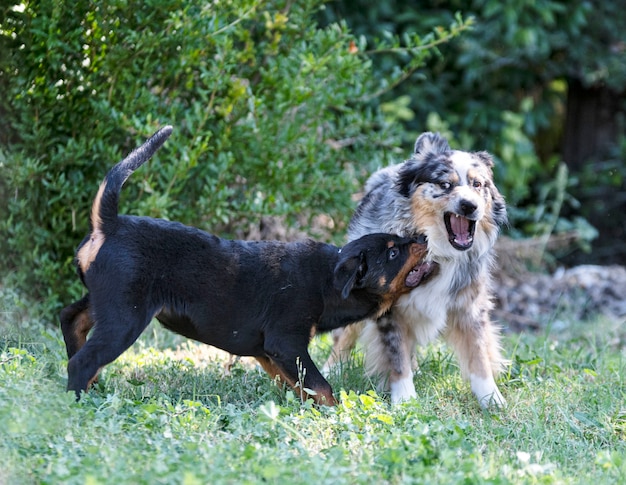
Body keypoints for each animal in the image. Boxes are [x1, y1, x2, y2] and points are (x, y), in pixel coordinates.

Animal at [61, 125, 436, 404]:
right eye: (392, 253)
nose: (423, 237)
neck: (326, 280)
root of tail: (109, 225)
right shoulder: (286, 342)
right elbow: (323, 386)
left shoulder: (269, 352)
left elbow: (300, 386)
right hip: (126, 314)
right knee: (84, 358)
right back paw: (79, 400)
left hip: (107, 301)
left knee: (71, 319)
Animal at [324, 130, 510, 406]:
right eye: (445, 184)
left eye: (478, 185)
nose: (469, 206)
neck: (438, 254)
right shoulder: (389, 310)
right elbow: (396, 355)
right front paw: (404, 399)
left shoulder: (469, 305)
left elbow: (478, 354)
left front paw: (491, 398)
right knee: (345, 335)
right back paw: (330, 369)